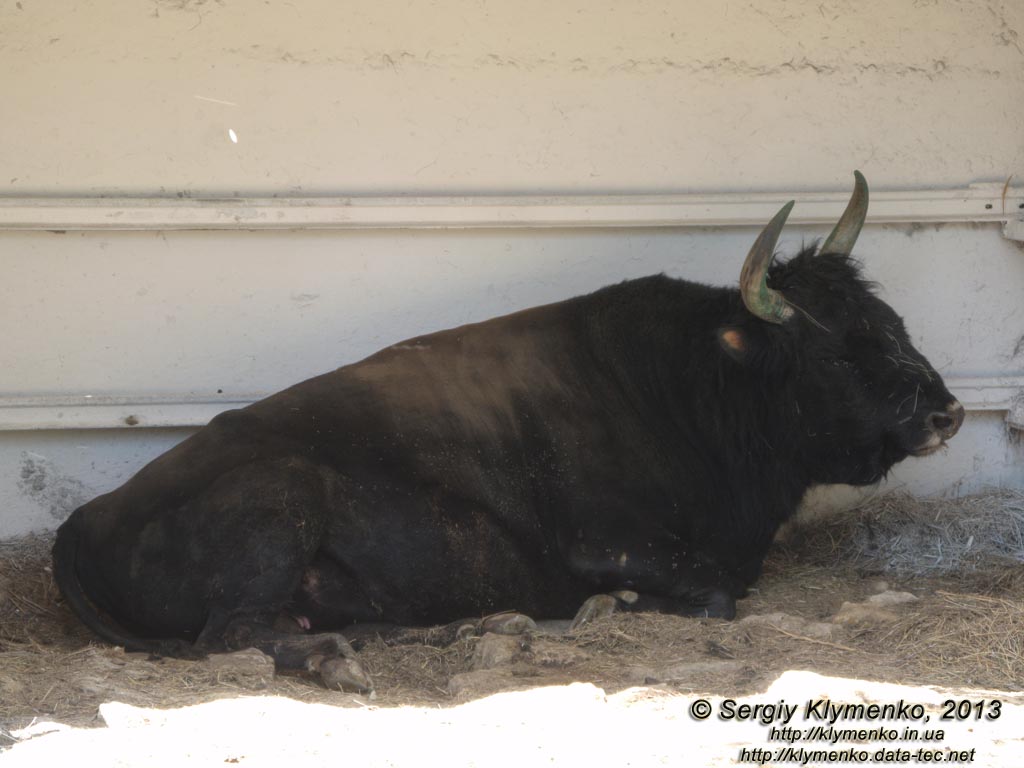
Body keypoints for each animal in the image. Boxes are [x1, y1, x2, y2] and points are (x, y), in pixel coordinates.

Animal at [51, 174, 962, 692]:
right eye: (832, 353)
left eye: (891, 321)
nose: (946, 412)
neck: (691, 382)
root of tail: (82, 519)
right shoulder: (612, 543)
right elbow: (710, 593)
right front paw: (604, 608)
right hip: (279, 504)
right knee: (236, 633)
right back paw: (347, 661)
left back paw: (473, 627)